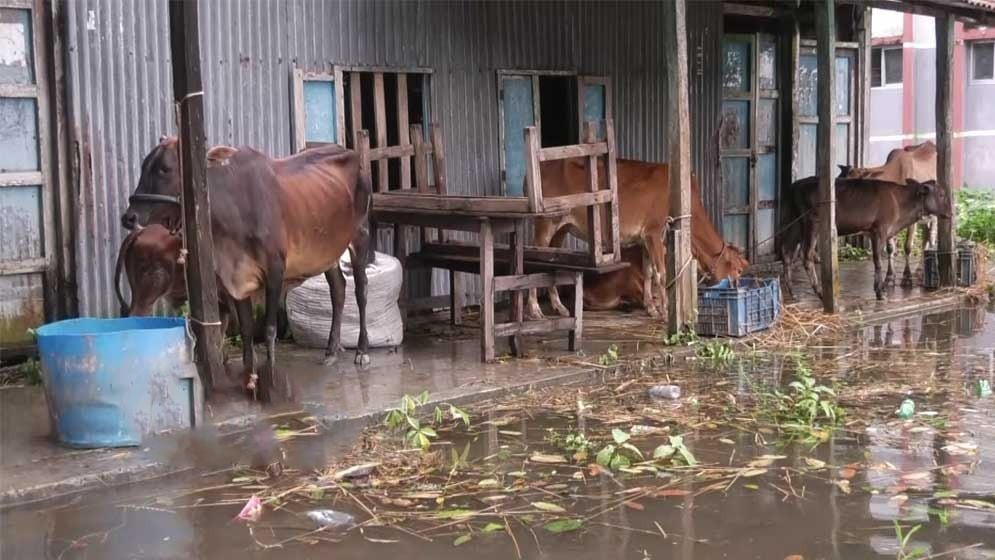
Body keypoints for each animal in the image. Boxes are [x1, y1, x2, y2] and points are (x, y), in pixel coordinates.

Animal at [528, 160, 748, 320]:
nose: (738, 289)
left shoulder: (644, 239)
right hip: (544, 224)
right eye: (738, 270)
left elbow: (649, 272)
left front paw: (651, 308)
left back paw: (559, 307)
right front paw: (665, 311)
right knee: (533, 263)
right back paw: (535, 309)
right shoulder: (654, 232)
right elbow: (661, 274)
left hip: (561, 229)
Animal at [844, 140, 936, 288]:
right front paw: (890, 277)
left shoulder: (913, 220)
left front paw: (906, 277)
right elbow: (890, 248)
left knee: (931, 238)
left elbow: (907, 247)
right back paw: (919, 271)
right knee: (926, 237)